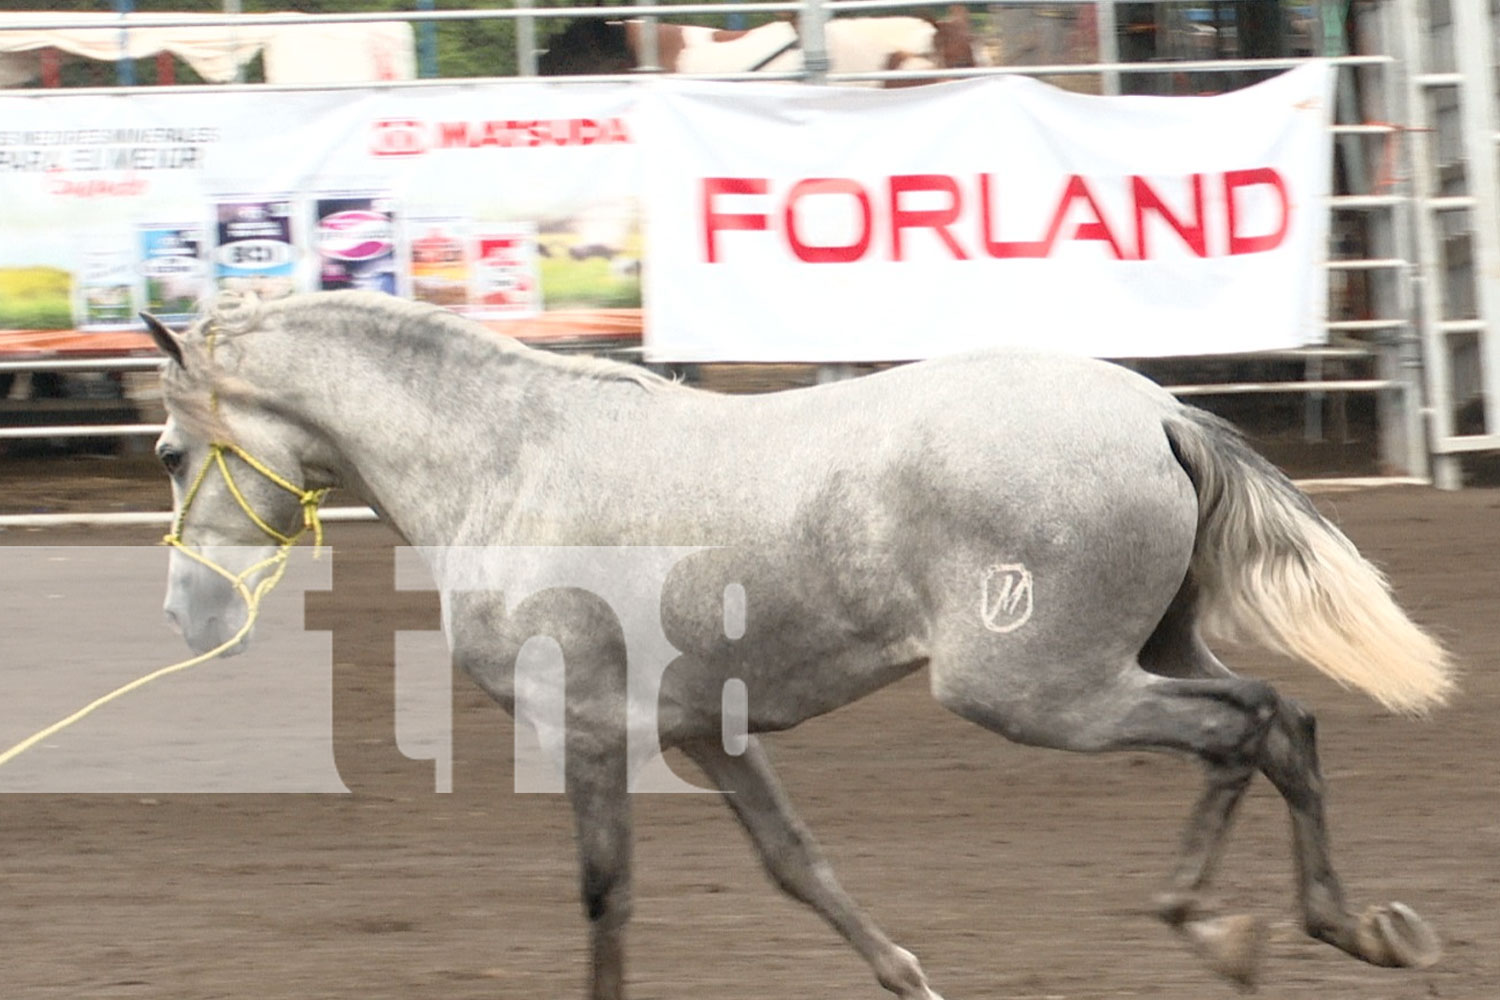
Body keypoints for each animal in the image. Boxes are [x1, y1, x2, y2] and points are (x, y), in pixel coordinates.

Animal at [143, 293, 1452, 1000]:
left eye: (167, 451)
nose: (186, 616)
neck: (508, 465)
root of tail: (1158, 409)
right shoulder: (705, 733)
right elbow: (798, 866)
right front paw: (912, 974)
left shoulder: (586, 732)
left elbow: (606, 893)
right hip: (1145, 652)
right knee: (1285, 720)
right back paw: (1356, 928)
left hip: (1040, 688)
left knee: (1244, 725)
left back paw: (1218, 926)